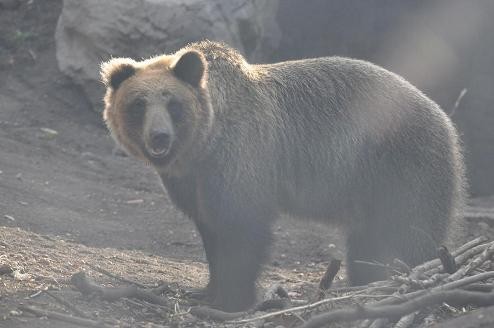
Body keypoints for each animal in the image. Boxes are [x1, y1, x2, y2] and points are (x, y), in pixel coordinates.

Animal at [102, 39, 466, 312]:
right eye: (138, 104)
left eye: (172, 103)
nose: (159, 137)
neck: (202, 143)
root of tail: (445, 119)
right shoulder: (192, 181)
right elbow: (210, 230)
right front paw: (207, 290)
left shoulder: (241, 157)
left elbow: (241, 228)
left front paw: (230, 301)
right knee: (368, 240)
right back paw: (366, 283)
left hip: (403, 167)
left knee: (411, 232)